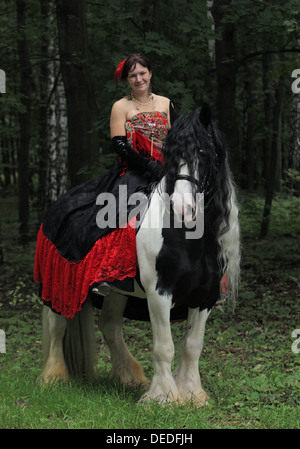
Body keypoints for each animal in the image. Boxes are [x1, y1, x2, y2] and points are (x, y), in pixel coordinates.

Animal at [40, 105, 241, 406]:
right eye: (172, 156)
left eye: (203, 153)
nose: (182, 209)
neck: (188, 239)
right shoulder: (159, 293)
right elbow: (164, 347)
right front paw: (164, 399)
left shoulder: (204, 297)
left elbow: (192, 346)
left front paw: (193, 395)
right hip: (59, 284)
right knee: (57, 325)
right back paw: (53, 378)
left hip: (117, 291)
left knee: (110, 325)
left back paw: (130, 377)